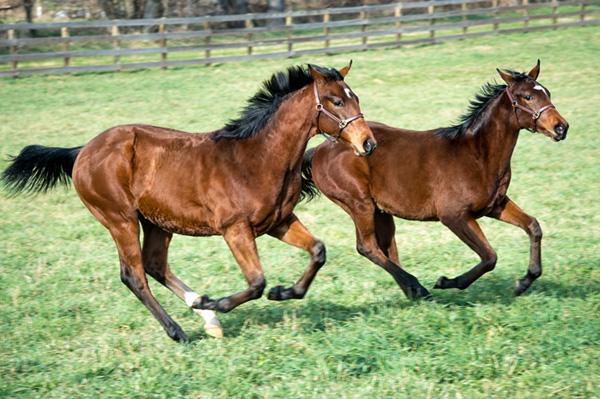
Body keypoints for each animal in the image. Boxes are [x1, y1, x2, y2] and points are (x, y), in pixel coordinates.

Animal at [1, 63, 376, 344]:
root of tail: (82, 151)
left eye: (355, 97)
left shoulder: (278, 222)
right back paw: (180, 329)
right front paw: (221, 301)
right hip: (120, 219)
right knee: (134, 275)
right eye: (335, 101)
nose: (368, 143)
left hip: (157, 222)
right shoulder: (235, 229)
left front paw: (284, 293)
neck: (257, 157)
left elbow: (318, 251)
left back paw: (204, 313)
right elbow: (256, 282)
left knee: (154, 265)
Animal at [302, 61, 568, 300]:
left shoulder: (495, 205)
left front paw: (525, 281)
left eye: (547, 92)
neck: (477, 154)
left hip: (381, 211)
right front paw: (448, 281)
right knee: (368, 247)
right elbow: (489, 256)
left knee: (387, 248)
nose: (561, 127)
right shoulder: (453, 215)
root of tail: (318, 150)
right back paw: (419, 288)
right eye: (527, 97)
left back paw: (414, 292)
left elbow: (533, 226)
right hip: (359, 204)